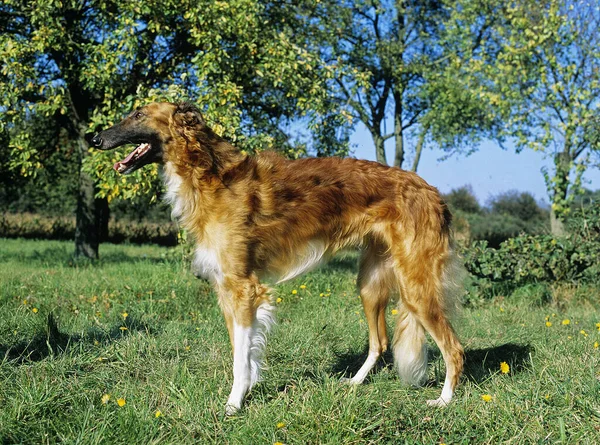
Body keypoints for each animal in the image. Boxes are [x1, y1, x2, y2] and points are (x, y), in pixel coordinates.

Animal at [91, 100, 464, 412]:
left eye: (139, 114)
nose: (95, 138)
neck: (208, 174)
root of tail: (433, 193)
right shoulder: (225, 289)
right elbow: (242, 352)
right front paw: (245, 392)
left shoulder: (244, 288)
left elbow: (240, 359)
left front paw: (234, 404)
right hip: (370, 283)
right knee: (380, 343)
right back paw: (354, 383)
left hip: (416, 286)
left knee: (454, 349)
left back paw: (443, 402)